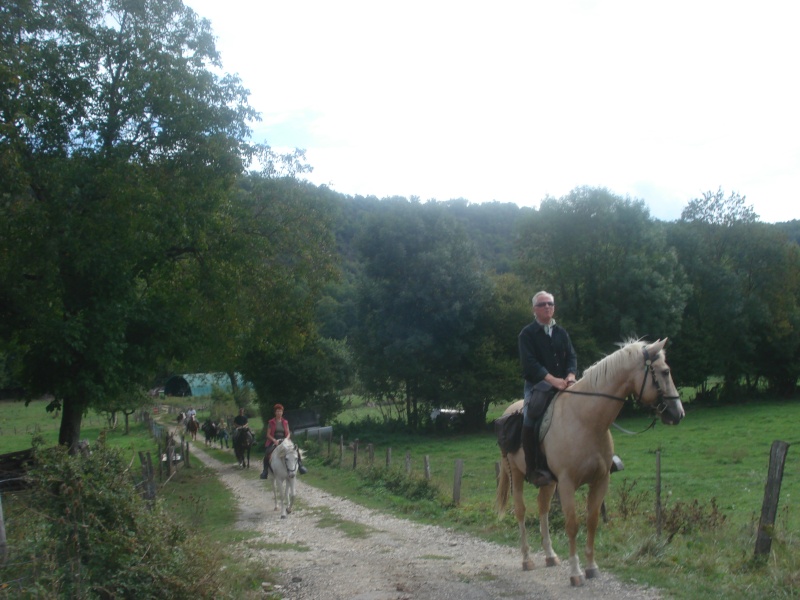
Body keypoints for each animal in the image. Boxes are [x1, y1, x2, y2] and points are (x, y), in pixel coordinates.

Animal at [496, 342, 684, 584]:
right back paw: (527, 559)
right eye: (665, 372)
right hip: (517, 475)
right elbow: (572, 525)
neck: (586, 419)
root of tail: (508, 411)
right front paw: (575, 572)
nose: (678, 413)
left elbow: (592, 521)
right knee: (520, 510)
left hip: (548, 483)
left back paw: (550, 556)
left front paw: (591, 567)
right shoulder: (567, 484)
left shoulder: (600, 481)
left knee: (542, 508)